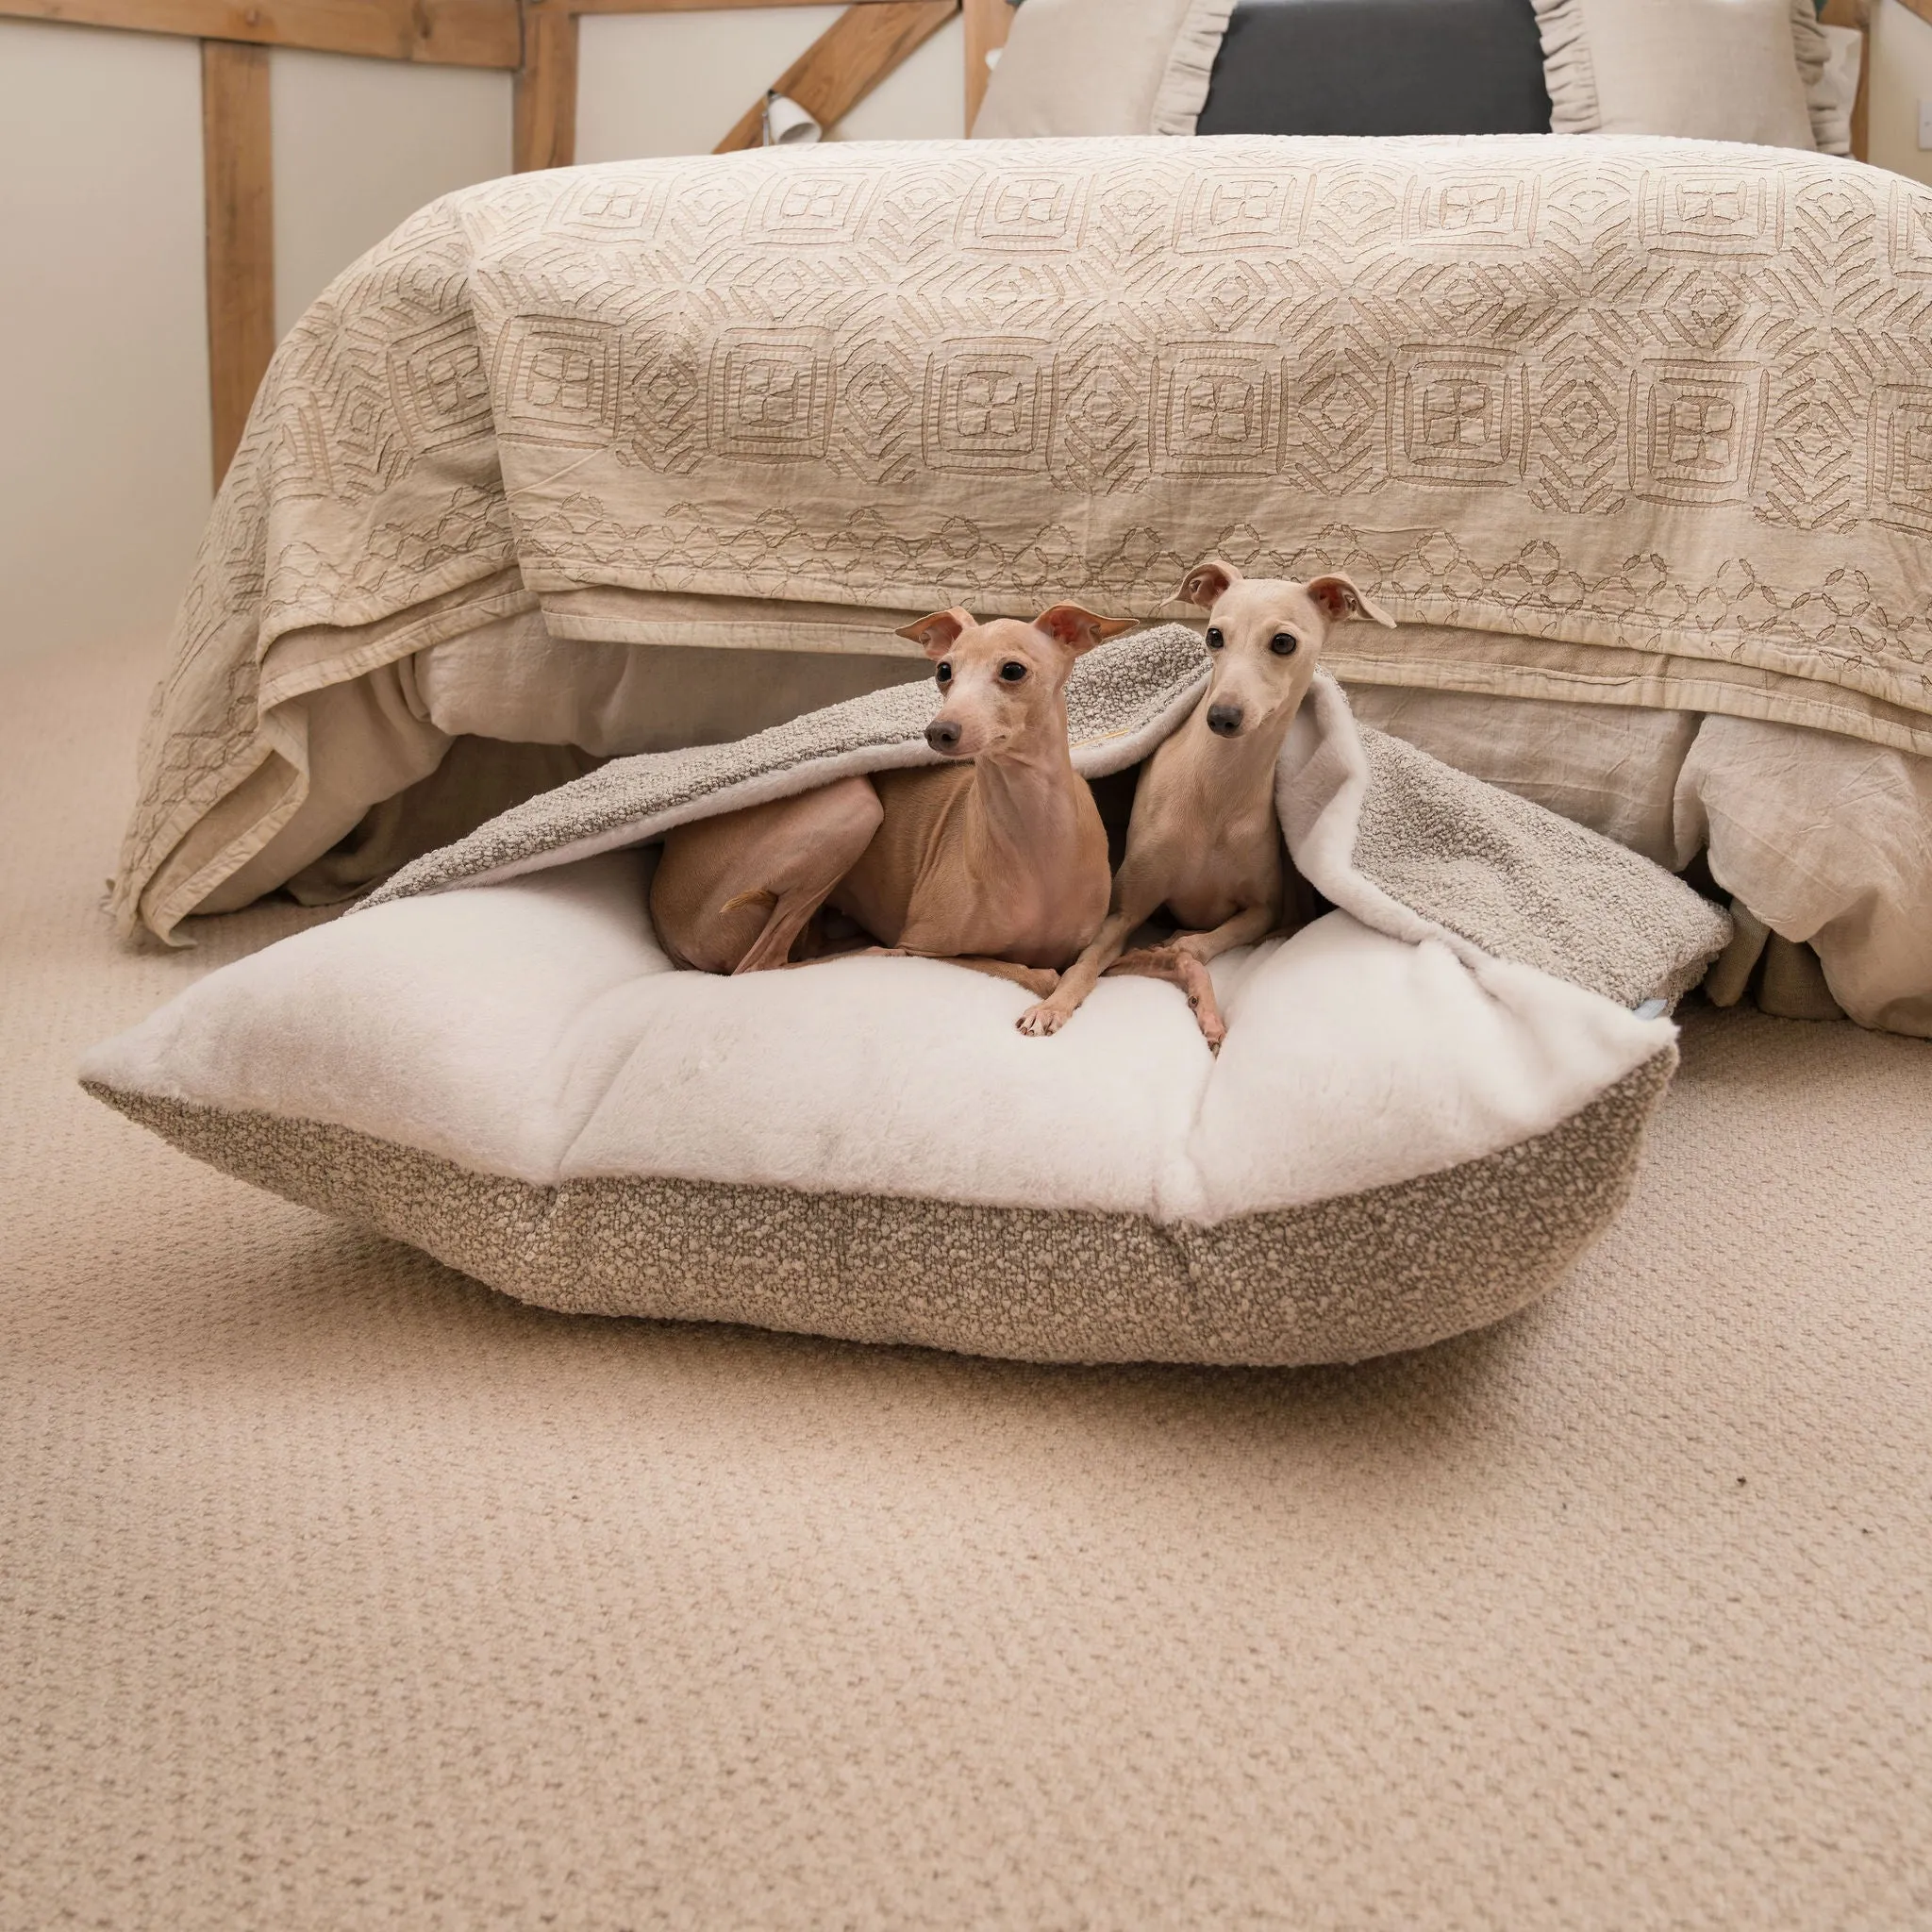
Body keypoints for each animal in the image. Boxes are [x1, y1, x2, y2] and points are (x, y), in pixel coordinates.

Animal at [649, 602, 1128, 996]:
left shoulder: (1084, 944)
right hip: (851, 804)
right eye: (943, 672)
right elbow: (1037, 974)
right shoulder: (924, 944)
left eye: (1012, 670)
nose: (939, 732)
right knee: (761, 964)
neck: (1035, 840)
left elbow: (1070, 969)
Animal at [1012, 559, 1391, 1042]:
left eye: (1283, 641)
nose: (1222, 717)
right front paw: (1053, 1005)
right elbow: (1087, 962)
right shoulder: (1125, 909)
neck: (1218, 795)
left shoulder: (1263, 908)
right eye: (1214, 636)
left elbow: (1203, 942)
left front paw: (1178, 957)